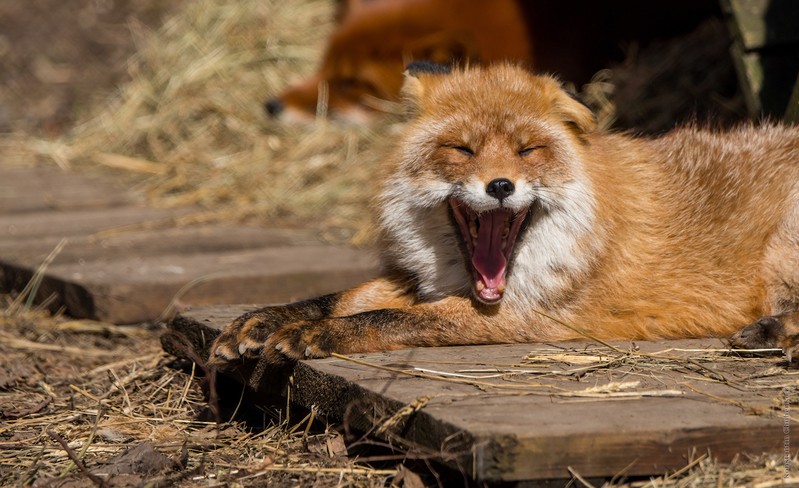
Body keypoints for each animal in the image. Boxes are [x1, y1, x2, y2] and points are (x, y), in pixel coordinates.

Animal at [211, 63, 799, 368]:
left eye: (527, 151)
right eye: (462, 150)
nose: (499, 186)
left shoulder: (529, 314)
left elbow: (386, 318)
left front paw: (316, 335)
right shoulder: (432, 282)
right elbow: (341, 297)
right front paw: (266, 319)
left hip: (781, 251)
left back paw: (776, 336)